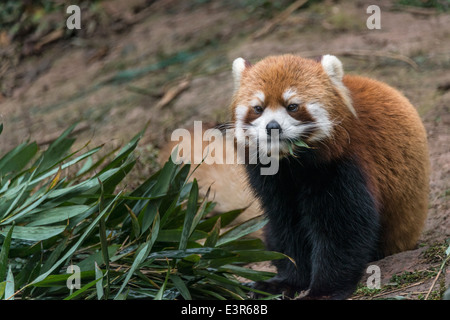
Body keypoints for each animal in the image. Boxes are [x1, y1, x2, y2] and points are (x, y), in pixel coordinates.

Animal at [163, 53, 430, 300]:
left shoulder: (343, 167)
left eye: (292, 106)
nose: (272, 127)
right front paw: (287, 282)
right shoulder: (272, 182)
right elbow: (287, 229)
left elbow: (343, 232)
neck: (292, 164)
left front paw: (323, 291)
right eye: (258, 108)